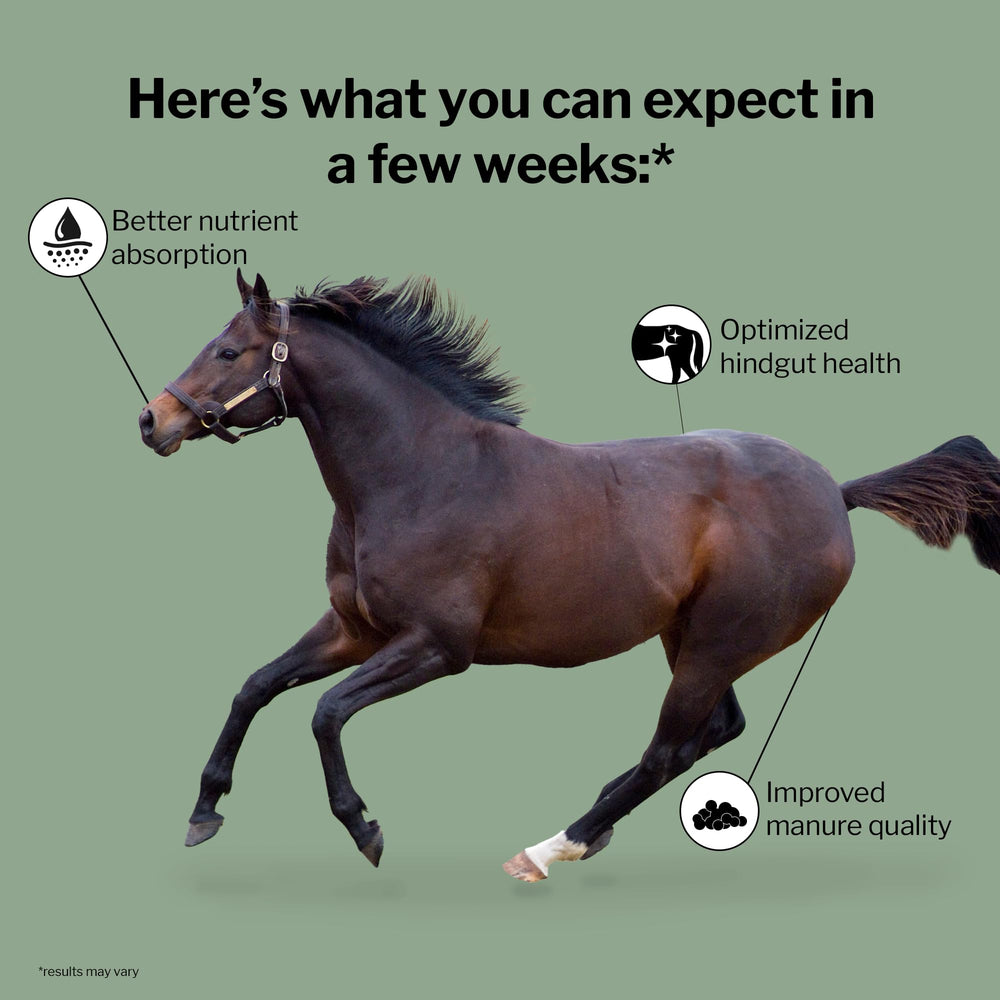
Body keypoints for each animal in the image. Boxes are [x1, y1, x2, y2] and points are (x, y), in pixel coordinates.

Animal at [138, 270, 1000, 882]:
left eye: (228, 352)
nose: (154, 420)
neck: (418, 472)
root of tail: (836, 492)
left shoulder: (436, 647)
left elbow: (323, 713)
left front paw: (364, 828)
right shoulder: (355, 630)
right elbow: (255, 687)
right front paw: (204, 810)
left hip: (717, 644)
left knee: (669, 749)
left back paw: (554, 847)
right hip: (690, 639)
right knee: (713, 732)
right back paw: (598, 827)